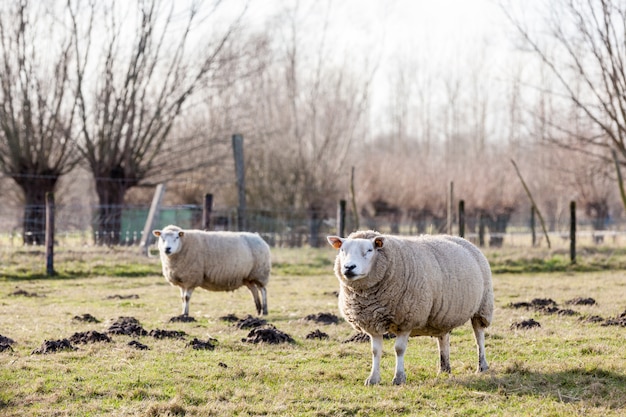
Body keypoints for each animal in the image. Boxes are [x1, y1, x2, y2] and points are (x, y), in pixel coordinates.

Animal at [326, 229, 492, 386]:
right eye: (342, 250)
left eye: (369, 250)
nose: (349, 267)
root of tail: (461, 238)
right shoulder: (372, 322)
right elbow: (375, 351)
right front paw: (373, 379)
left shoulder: (407, 320)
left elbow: (399, 350)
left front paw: (399, 378)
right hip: (442, 315)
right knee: (443, 338)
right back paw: (444, 369)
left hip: (482, 306)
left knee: (479, 337)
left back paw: (482, 366)